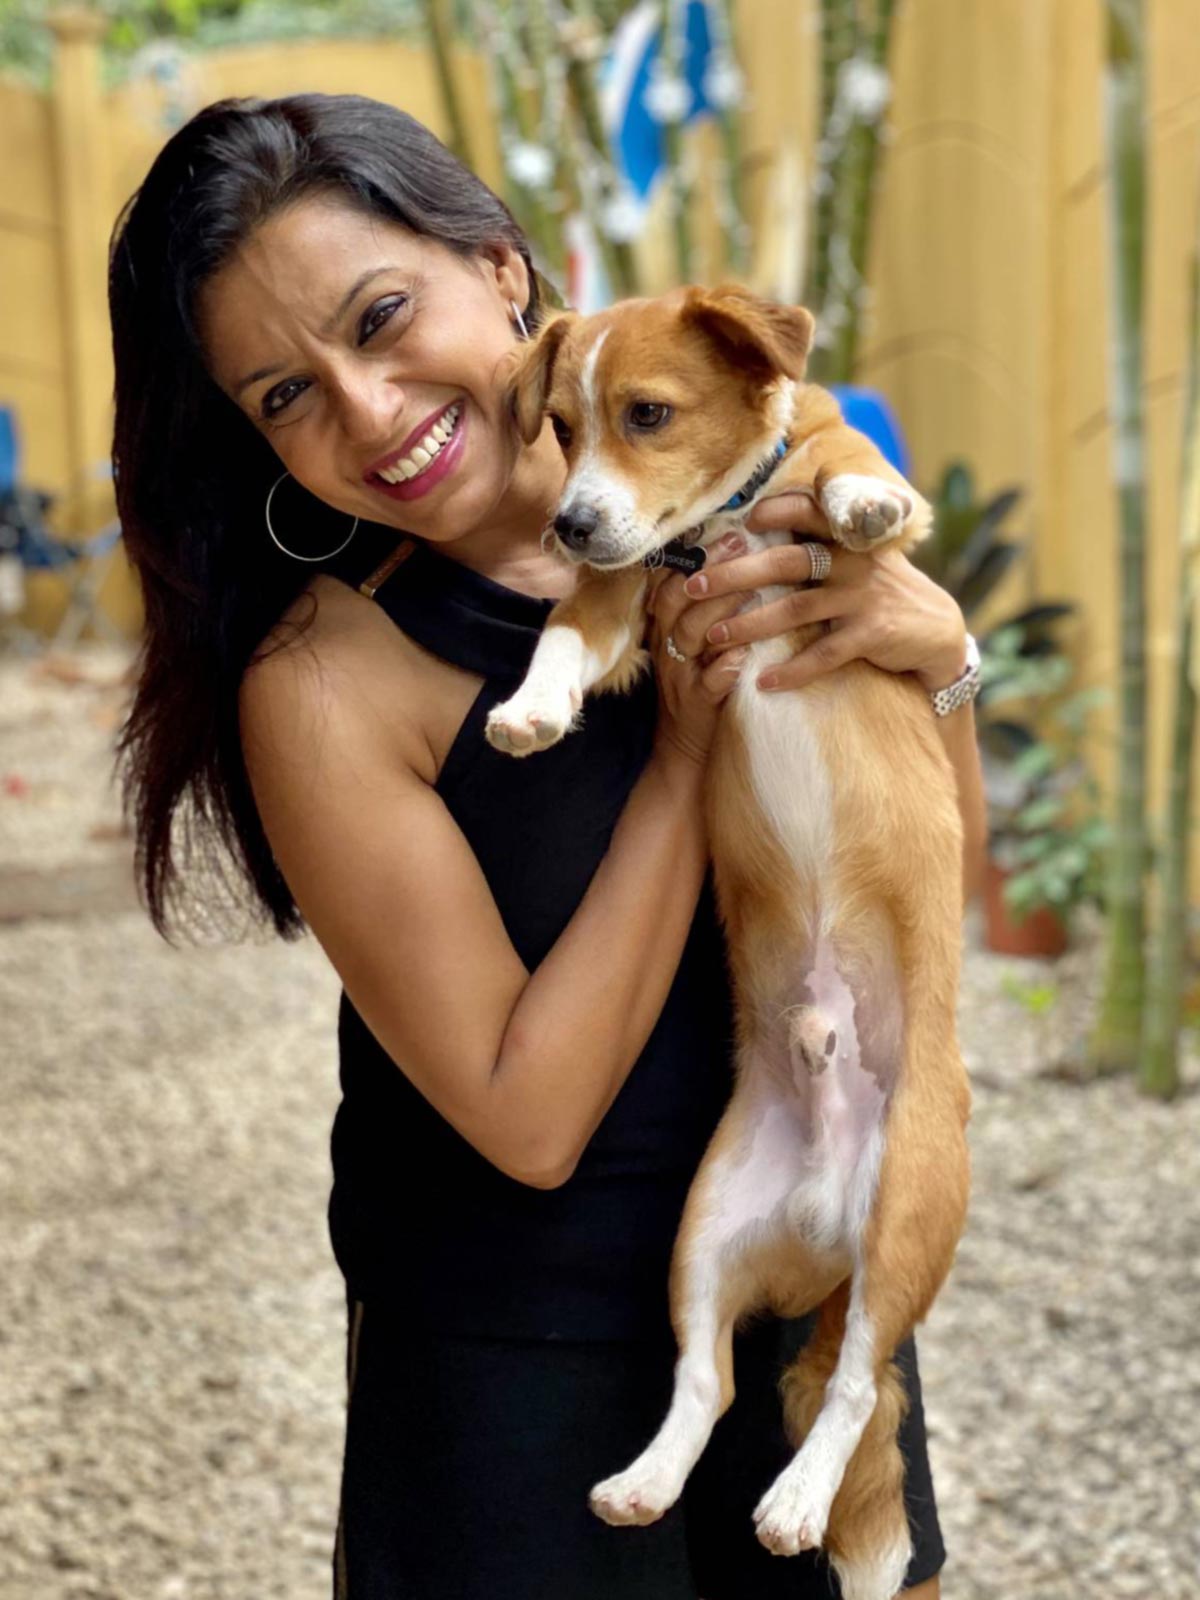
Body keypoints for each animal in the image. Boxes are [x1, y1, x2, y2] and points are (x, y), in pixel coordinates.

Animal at [483, 288, 972, 1600]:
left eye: (647, 414)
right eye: (561, 427)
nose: (568, 521)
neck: (720, 527)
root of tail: (824, 1231)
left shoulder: (825, 501)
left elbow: (853, 469)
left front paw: (861, 506)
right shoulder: (621, 596)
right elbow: (561, 633)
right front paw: (532, 710)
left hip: (909, 1214)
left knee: (852, 1383)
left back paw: (797, 1500)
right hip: (700, 1239)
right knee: (709, 1381)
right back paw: (648, 1482)